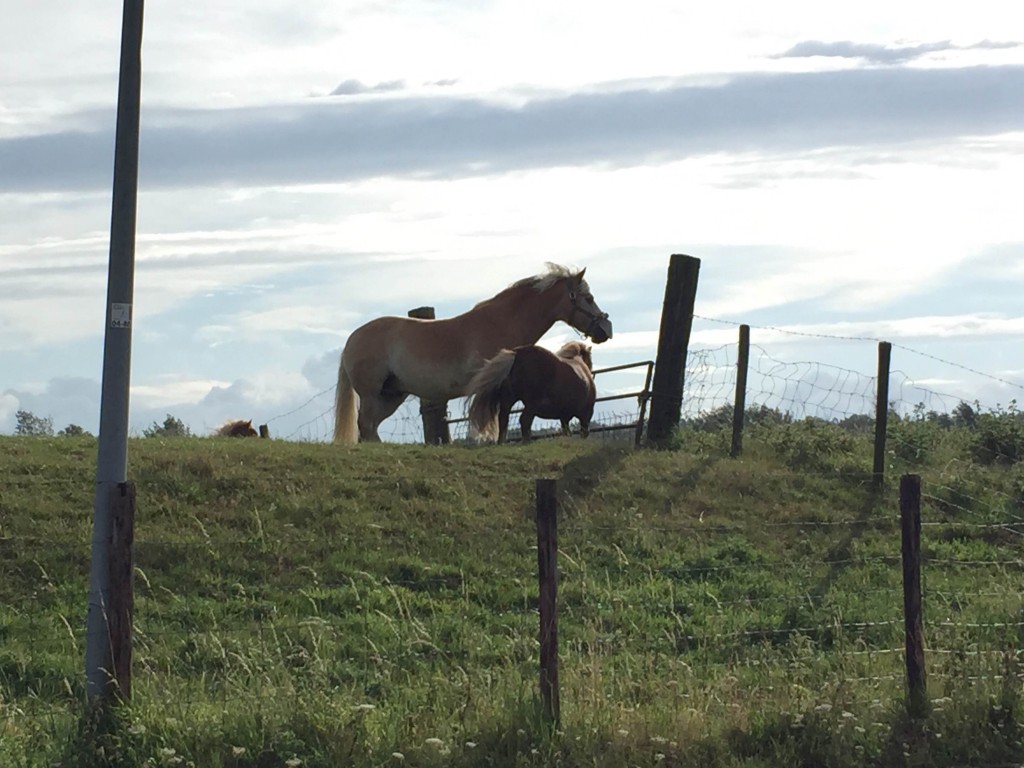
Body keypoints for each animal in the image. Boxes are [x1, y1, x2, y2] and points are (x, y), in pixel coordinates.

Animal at [468, 342, 598, 444]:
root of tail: (517, 354)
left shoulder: (564, 415)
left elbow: (566, 430)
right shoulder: (585, 413)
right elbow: (583, 430)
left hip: (508, 401)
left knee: (504, 419)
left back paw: (502, 442)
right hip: (532, 404)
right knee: (524, 419)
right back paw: (527, 441)